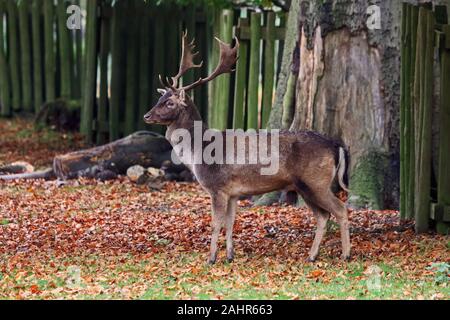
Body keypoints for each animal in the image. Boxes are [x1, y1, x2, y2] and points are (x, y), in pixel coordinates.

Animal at [144, 32, 352, 264]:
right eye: (160, 98)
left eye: (170, 102)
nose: (147, 115)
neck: (199, 149)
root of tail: (336, 145)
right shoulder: (233, 193)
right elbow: (230, 223)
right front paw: (229, 256)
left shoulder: (217, 187)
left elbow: (216, 224)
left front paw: (211, 259)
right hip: (304, 186)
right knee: (323, 216)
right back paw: (312, 256)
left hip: (316, 181)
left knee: (341, 209)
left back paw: (346, 254)